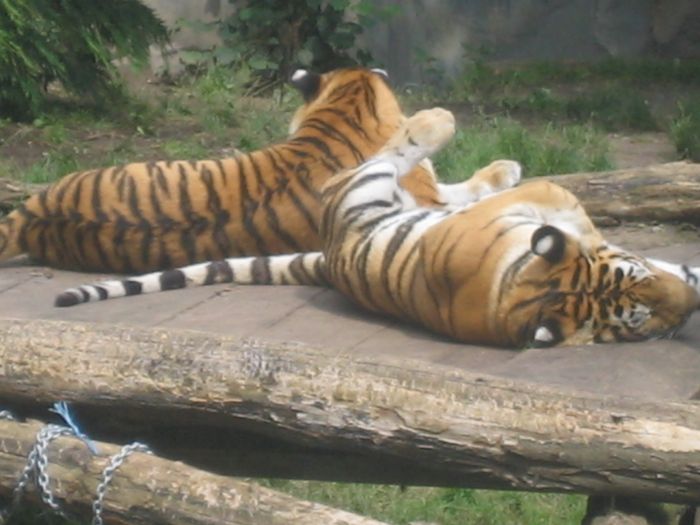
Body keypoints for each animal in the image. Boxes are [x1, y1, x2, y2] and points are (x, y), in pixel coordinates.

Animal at [56, 108, 700, 348]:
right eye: (638, 311)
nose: (687, 309)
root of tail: (329, 251)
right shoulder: (532, 210)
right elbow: (567, 205)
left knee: (438, 184)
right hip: (359, 188)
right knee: (388, 155)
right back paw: (443, 124)